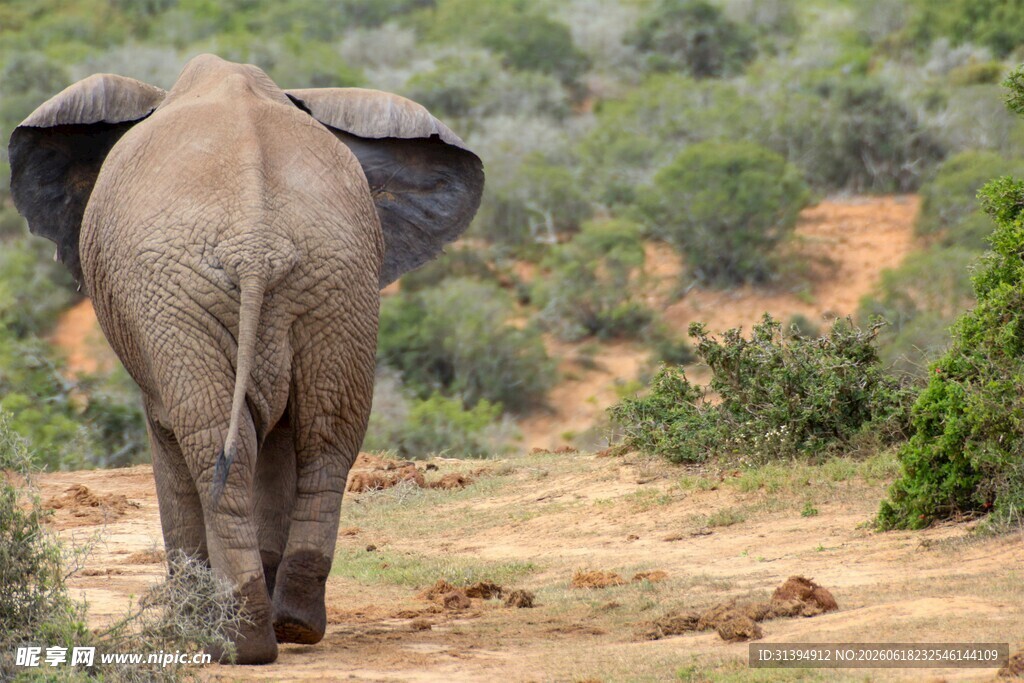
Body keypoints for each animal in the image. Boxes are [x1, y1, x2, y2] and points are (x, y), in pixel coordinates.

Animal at [8, 54, 483, 664]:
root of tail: (258, 242)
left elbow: (167, 436)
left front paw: (186, 616)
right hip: (337, 282)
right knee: (327, 436)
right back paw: (295, 625)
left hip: (180, 296)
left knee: (208, 440)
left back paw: (234, 641)